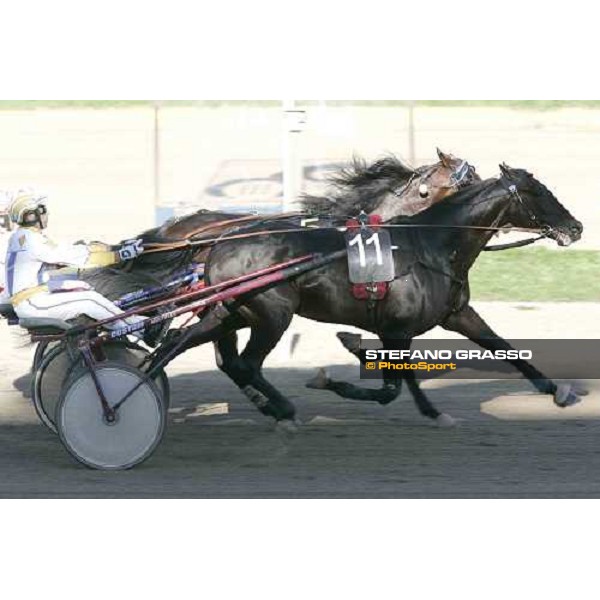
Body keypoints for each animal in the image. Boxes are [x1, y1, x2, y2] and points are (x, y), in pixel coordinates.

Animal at [132, 166, 580, 424]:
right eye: (540, 192)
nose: (575, 227)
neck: (432, 244)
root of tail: (219, 244)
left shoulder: (454, 314)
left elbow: (502, 346)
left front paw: (558, 390)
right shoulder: (396, 329)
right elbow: (391, 387)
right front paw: (335, 379)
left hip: (229, 311)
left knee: (181, 344)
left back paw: (139, 386)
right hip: (272, 315)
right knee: (245, 364)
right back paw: (283, 411)